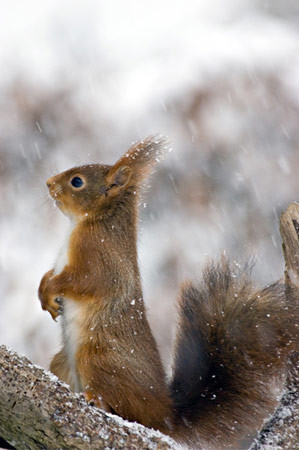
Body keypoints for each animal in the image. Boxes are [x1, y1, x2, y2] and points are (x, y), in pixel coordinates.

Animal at [38, 135, 298, 448]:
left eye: (77, 181)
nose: (48, 182)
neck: (95, 220)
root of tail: (165, 413)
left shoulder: (98, 258)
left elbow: (85, 282)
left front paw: (51, 290)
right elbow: (50, 275)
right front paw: (44, 293)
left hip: (98, 357)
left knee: (122, 406)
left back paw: (98, 400)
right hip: (63, 361)